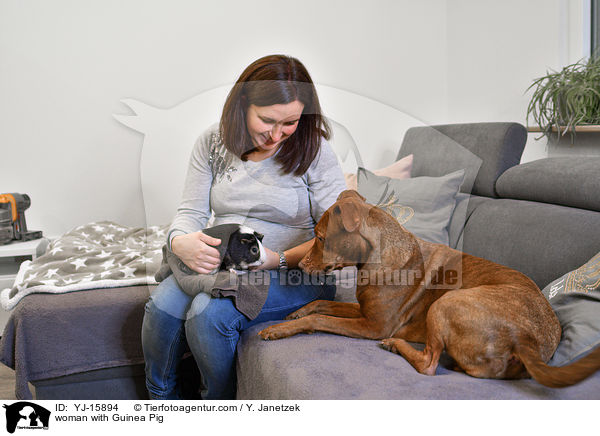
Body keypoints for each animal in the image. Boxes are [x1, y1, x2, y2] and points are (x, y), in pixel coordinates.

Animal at [260, 189, 600, 386]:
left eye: (319, 238)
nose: (300, 267)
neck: (378, 256)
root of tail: (527, 341)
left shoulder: (374, 326)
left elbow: (321, 318)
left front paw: (279, 329)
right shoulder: (364, 311)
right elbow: (322, 305)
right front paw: (295, 313)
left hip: (445, 303)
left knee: (428, 365)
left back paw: (397, 346)